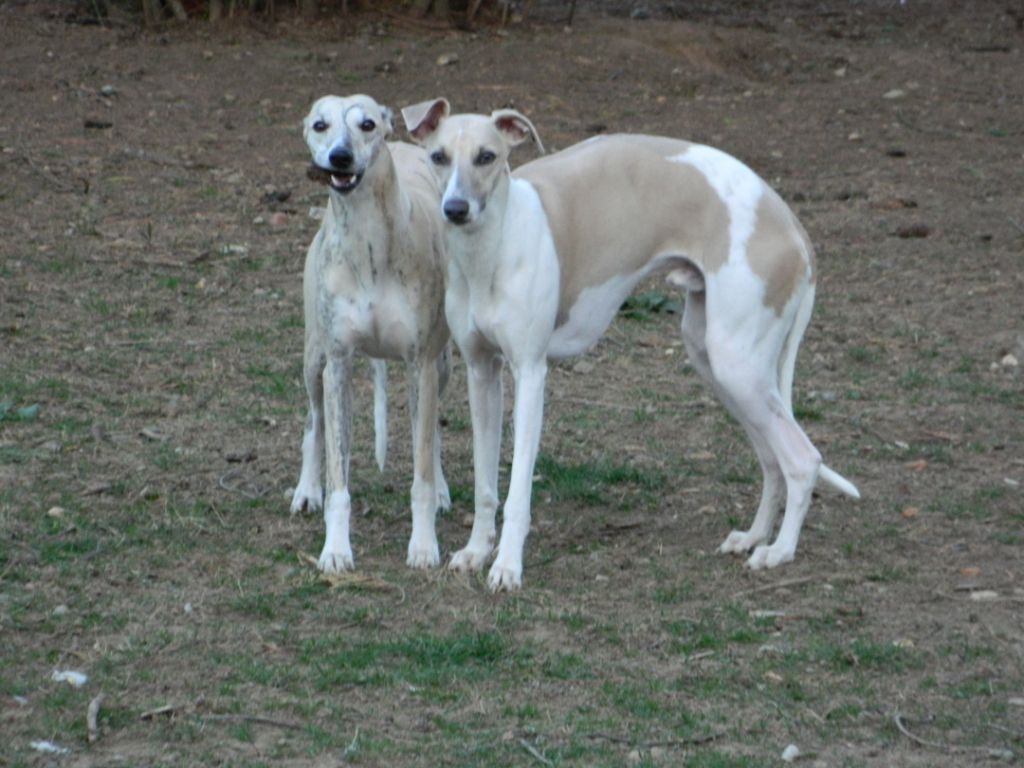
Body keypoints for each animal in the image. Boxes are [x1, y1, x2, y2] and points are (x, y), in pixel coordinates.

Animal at [288, 94, 448, 573]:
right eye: (319, 125)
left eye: (367, 124)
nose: (340, 157)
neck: (368, 241)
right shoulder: (337, 365)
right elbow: (338, 477)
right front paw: (336, 549)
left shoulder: (422, 365)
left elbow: (422, 468)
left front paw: (423, 544)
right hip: (313, 359)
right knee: (314, 421)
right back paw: (307, 490)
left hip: (445, 365)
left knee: (432, 434)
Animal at [403, 99, 860, 593]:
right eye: (438, 157)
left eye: (487, 157)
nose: (455, 209)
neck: (495, 247)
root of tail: (792, 224)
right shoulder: (481, 371)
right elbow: (486, 482)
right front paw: (475, 551)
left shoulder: (530, 373)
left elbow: (519, 487)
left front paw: (507, 566)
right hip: (718, 363)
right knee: (771, 458)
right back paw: (753, 537)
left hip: (738, 365)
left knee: (802, 458)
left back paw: (779, 551)